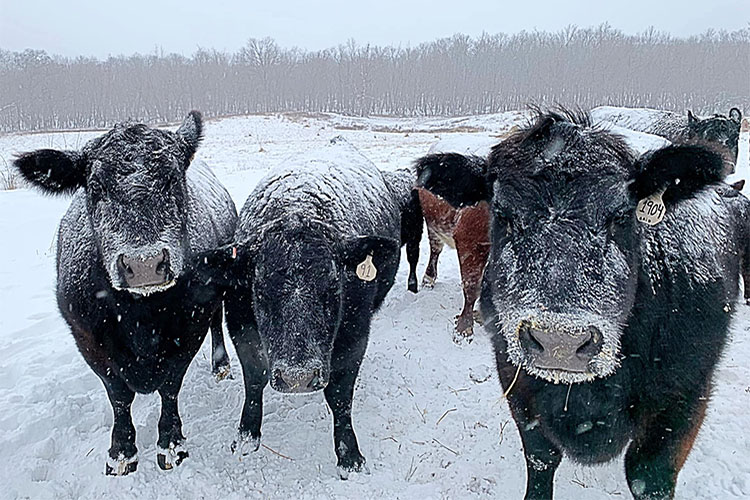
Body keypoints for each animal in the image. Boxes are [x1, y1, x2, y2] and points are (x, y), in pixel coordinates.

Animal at [14, 112, 238, 476]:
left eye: (172, 179)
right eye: (95, 187)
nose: (144, 263)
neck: (140, 316)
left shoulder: (188, 330)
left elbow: (170, 388)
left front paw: (171, 445)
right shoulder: (88, 339)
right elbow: (118, 396)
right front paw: (121, 452)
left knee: (217, 323)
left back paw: (221, 366)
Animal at [203, 137, 420, 476]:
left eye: (333, 286)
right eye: (260, 290)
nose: (298, 377)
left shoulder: (354, 334)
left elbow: (340, 395)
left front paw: (349, 455)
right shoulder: (240, 324)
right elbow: (254, 381)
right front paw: (247, 436)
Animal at [418, 111, 750, 498]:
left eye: (621, 215)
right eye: (502, 215)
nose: (559, 341)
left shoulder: (685, 396)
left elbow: (648, 476)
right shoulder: (516, 382)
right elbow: (541, 458)